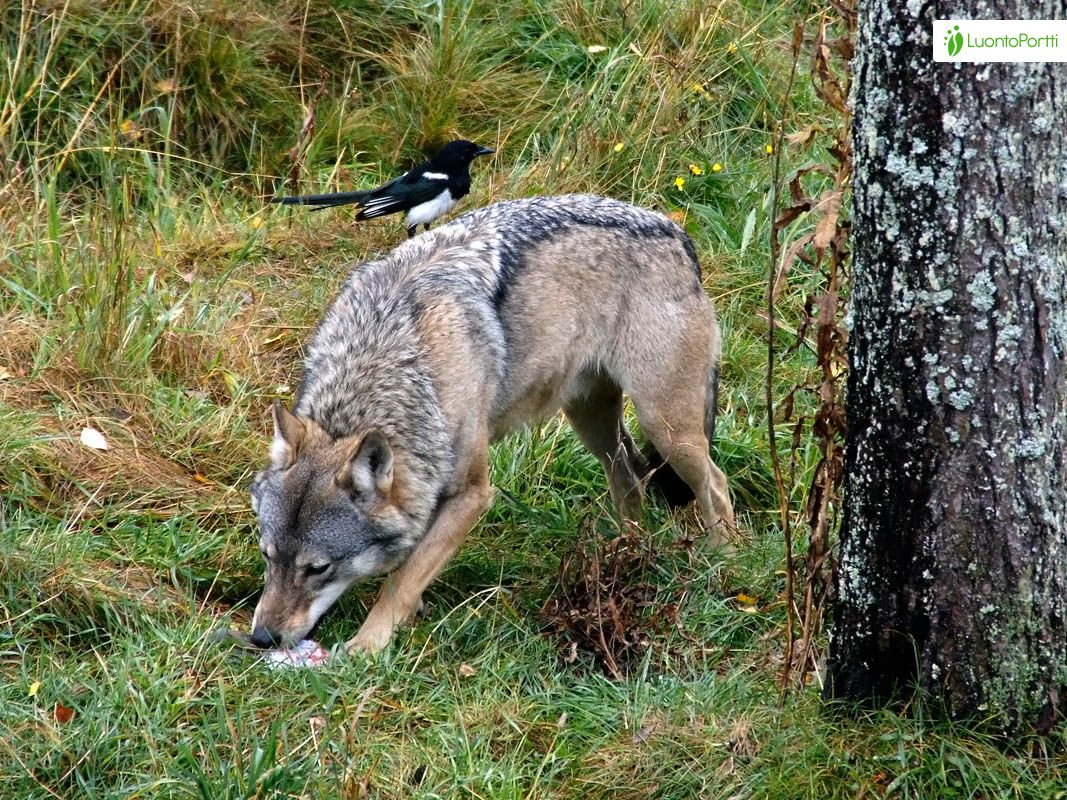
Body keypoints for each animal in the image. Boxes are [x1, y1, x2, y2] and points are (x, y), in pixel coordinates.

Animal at [247, 196, 734, 657]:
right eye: (268, 556)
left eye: (318, 568)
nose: (263, 638)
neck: (391, 355)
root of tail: (675, 232)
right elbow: (413, 565)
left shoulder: (473, 493)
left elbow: (401, 579)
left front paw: (369, 644)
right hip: (592, 425)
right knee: (630, 479)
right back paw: (621, 557)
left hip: (665, 428)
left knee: (716, 483)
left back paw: (722, 562)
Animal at [271, 139, 495, 237]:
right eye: (469, 150)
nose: (487, 149)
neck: (450, 169)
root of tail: (371, 194)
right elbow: (413, 227)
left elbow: (427, 226)